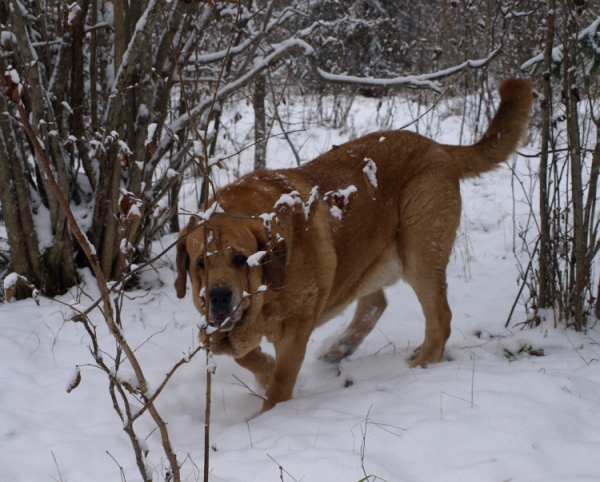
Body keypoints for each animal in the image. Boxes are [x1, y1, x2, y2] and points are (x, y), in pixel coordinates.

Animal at [176, 79, 532, 414]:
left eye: (241, 259)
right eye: (200, 263)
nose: (219, 296)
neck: (264, 295)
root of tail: (439, 148)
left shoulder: (295, 330)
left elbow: (280, 383)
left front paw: (268, 414)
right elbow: (246, 357)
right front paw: (264, 369)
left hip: (420, 255)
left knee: (439, 318)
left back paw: (421, 365)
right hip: (365, 260)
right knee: (375, 303)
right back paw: (339, 347)